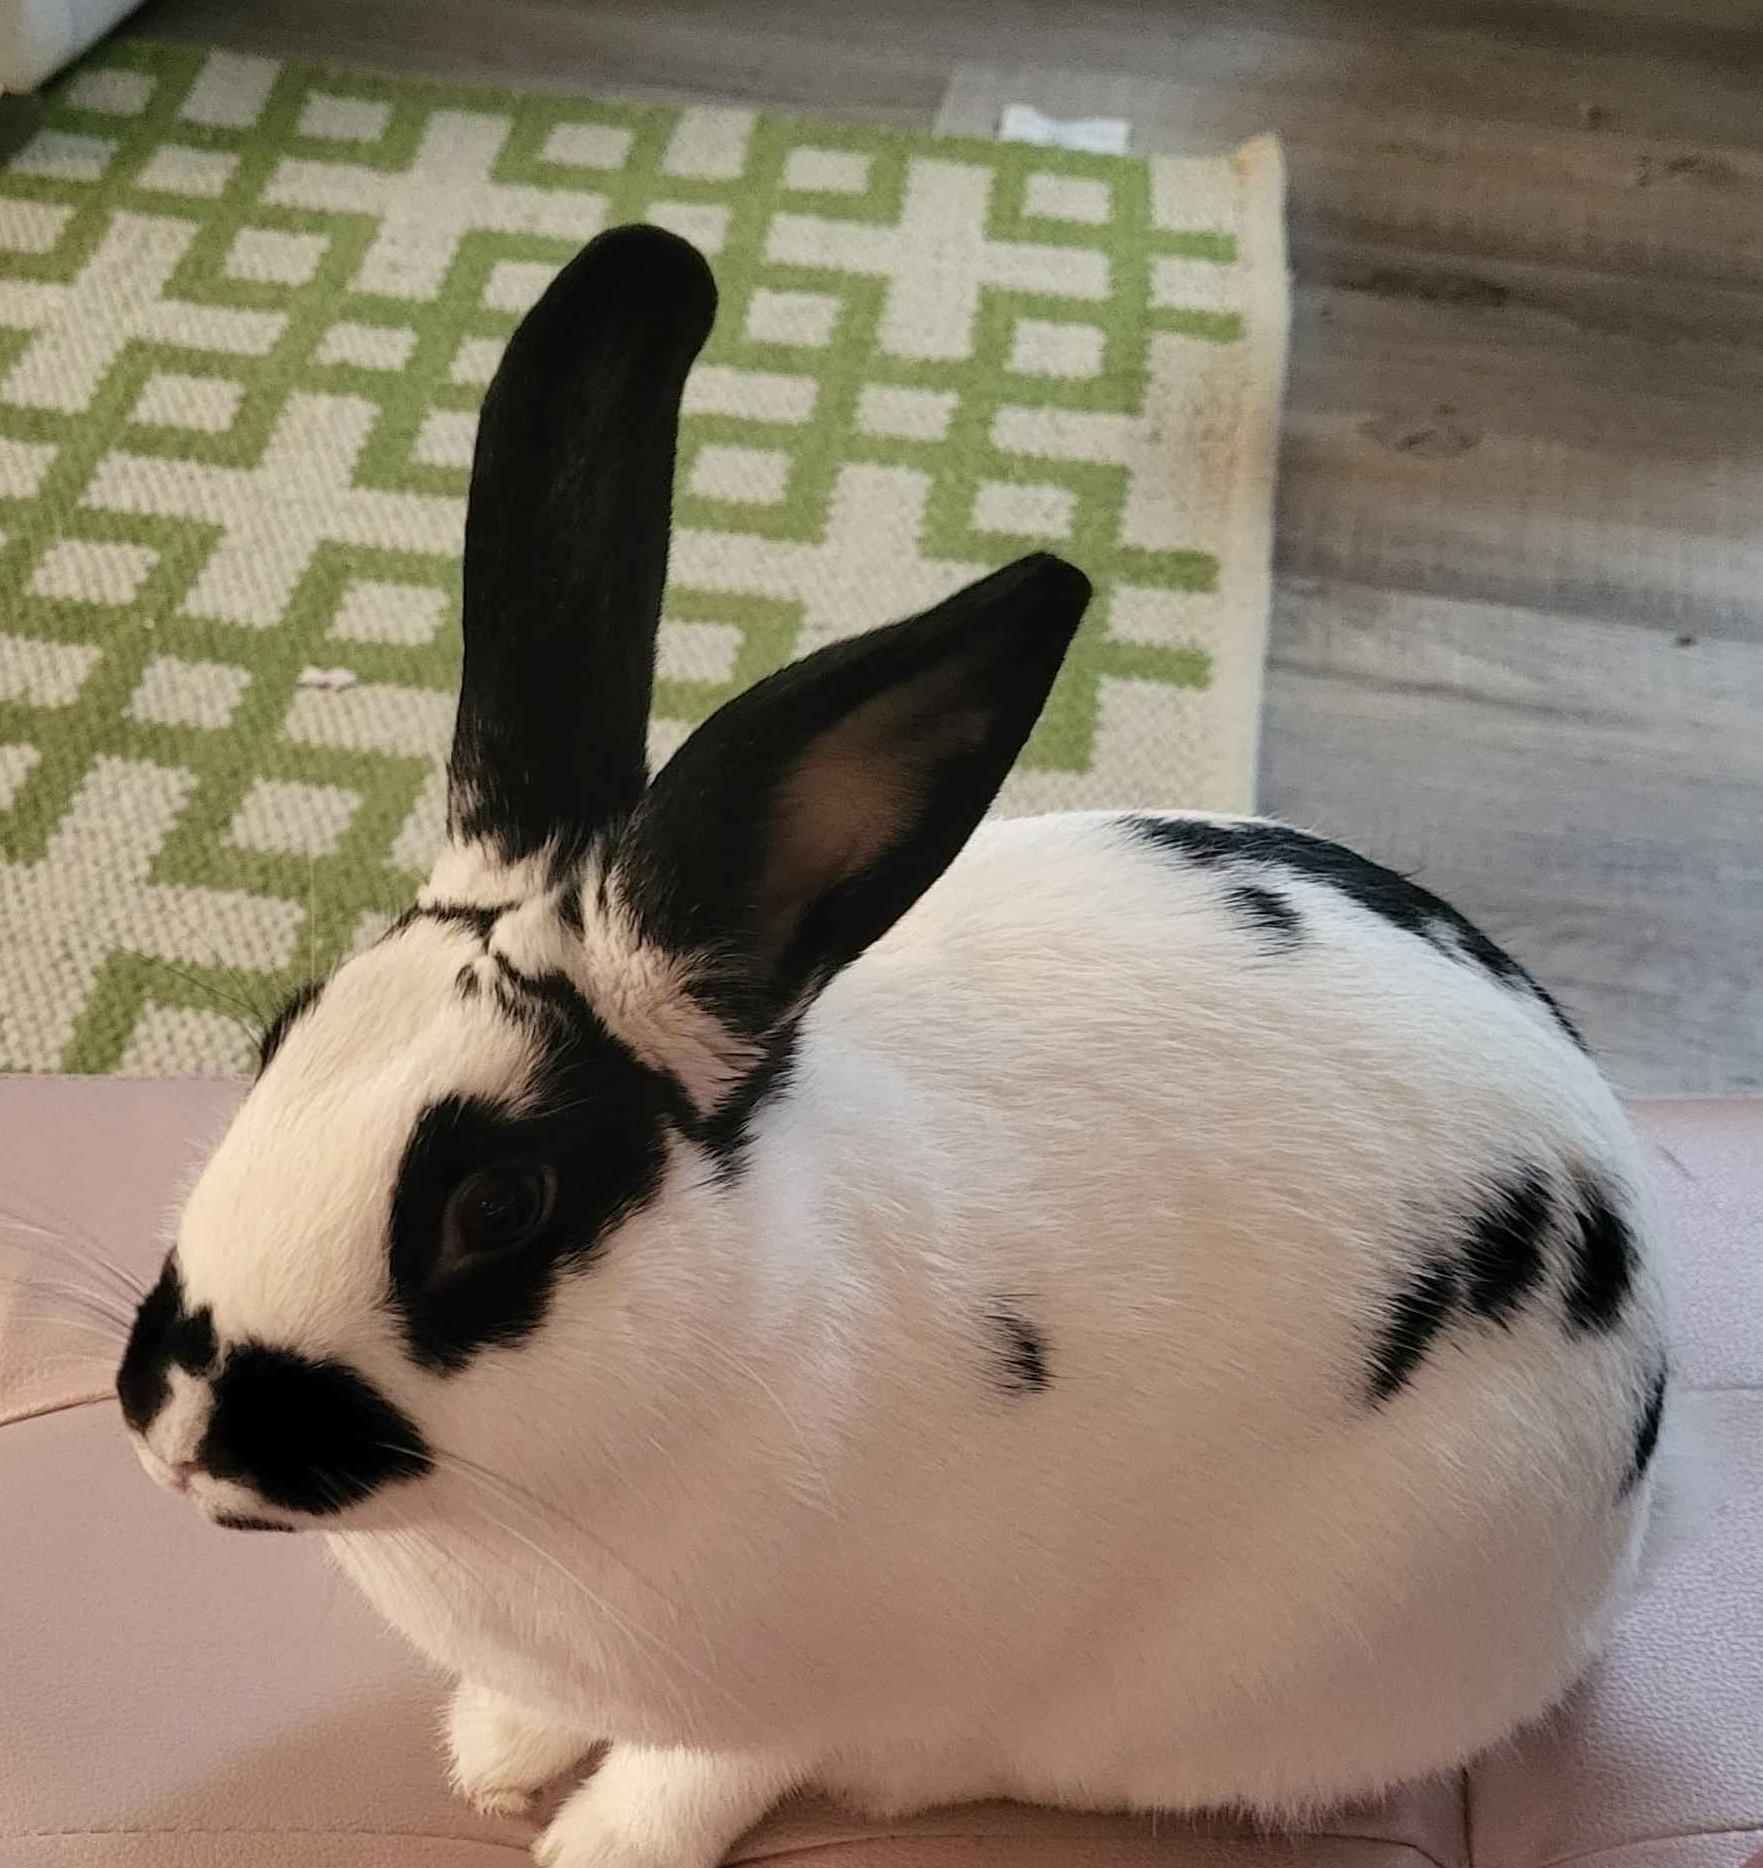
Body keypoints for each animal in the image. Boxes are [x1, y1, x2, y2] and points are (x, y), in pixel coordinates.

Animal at [117, 224, 1669, 1868]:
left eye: (498, 1203)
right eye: (280, 1031)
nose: (179, 1424)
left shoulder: (802, 1693)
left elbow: (696, 1775)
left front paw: (589, 1840)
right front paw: (493, 1752)